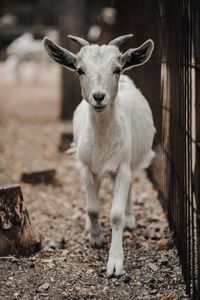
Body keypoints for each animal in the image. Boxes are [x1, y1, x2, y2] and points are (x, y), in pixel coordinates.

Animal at [44, 34, 156, 278]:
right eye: (79, 70)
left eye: (117, 69)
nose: (98, 96)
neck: (104, 140)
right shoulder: (87, 168)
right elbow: (93, 208)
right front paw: (95, 238)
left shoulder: (123, 167)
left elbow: (115, 214)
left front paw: (115, 264)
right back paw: (89, 226)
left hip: (133, 162)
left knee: (131, 186)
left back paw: (131, 219)